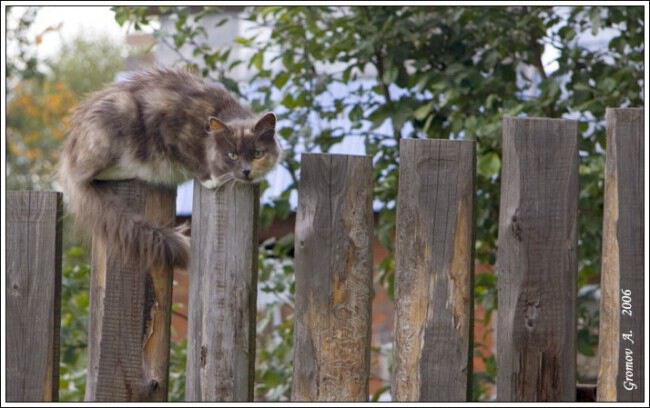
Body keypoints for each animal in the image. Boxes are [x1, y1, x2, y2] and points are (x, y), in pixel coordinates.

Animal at [56, 67, 278, 270]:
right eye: (232, 155)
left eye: (258, 154)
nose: (246, 171)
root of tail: (69, 150)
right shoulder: (172, 133)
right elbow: (193, 160)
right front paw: (211, 179)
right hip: (117, 123)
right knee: (88, 175)